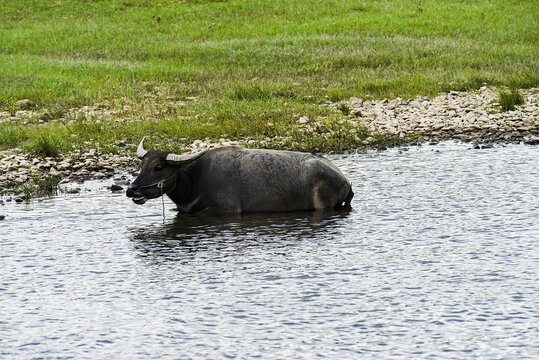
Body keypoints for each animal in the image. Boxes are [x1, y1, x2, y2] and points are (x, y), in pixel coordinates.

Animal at [126, 138, 354, 215]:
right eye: (141, 165)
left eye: (158, 167)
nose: (131, 190)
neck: (196, 180)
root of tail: (345, 181)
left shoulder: (227, 210)